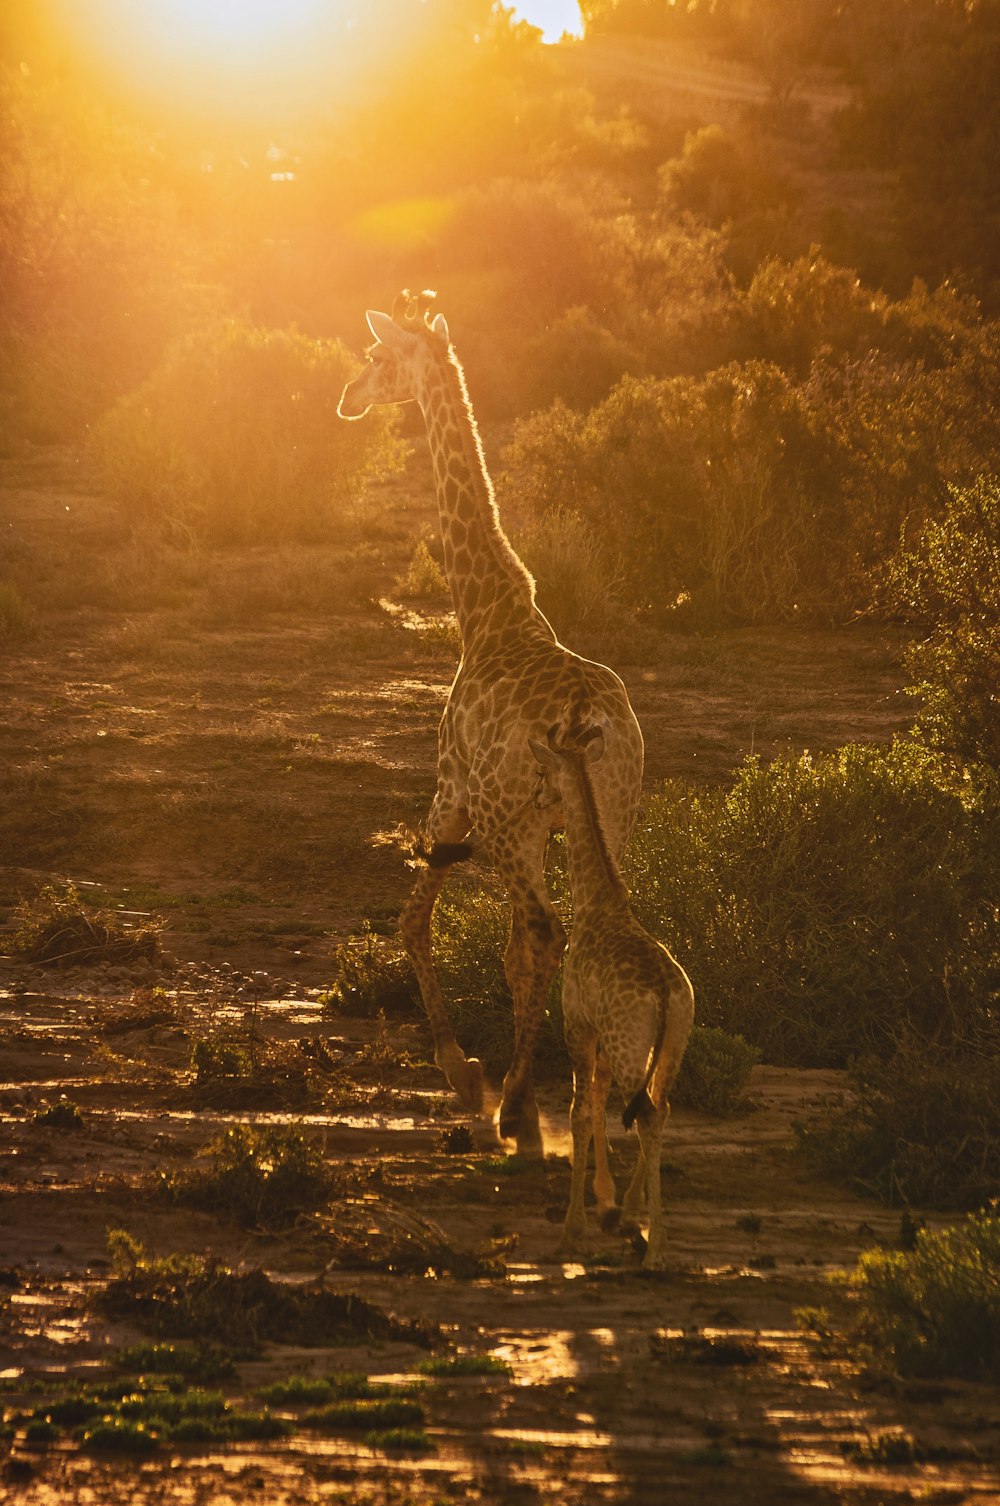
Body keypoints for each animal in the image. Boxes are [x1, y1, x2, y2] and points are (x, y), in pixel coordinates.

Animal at [340, 290, 644, 1150]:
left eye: (376, 356)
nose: (348, 397)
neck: (487, 612)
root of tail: (584, 719)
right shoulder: (534, 823)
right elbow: (498, 948)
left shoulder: (454, 796)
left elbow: (415, 922)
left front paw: (465, 1074)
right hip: (611, 813)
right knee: (586, 930)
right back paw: (581, 1097)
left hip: (510, 821)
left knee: (544, 933)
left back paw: (517, 1104)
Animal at [530, 722, 695, 1265]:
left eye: (542, 772)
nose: (538, 800)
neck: (594, 901)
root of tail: (665, 995)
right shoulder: (597, 1033)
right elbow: (597, 1101)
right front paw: (607, 1205)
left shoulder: (577, 1024)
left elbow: (580, 1113)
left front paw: (571, 1230)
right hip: (673, 1046)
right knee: (661, 1108)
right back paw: (634, 1217)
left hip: (629, 1046)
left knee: (645, 1114)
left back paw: (654, 1246)